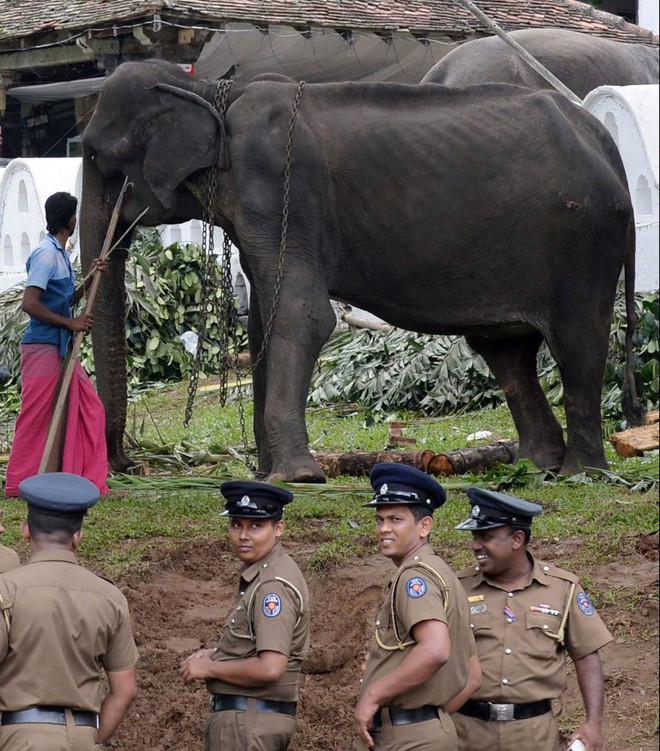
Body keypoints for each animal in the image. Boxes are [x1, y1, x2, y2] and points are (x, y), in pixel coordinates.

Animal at [78, 58, 644, 482]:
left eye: (97, 156)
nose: (128, 464)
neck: (214, 89)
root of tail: (604, 140)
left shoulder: (278, 185)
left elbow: (302, 316)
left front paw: (296, 477)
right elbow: (264, 323)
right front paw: (265, 476)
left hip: (584, 242)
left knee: (577, 346)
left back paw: (580, 473)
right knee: (507, 354)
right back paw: (534, 465)